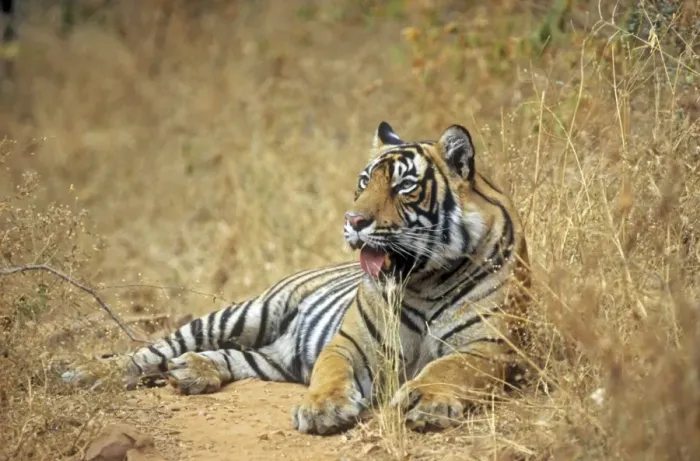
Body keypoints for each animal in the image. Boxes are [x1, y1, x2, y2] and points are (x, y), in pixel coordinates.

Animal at [63, 121, 531, 435]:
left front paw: (427, 400)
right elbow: (331, 372)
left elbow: (451, 368)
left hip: (272, 356)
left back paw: (192, 371)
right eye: (364, 182)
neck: (422, 280)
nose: (353, 220)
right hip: (245, 313)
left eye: (404, 187)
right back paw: (84, 372)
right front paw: (322, 409)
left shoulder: (489, 346)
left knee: (233, 357)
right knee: (149, 351)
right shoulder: (350, 343)